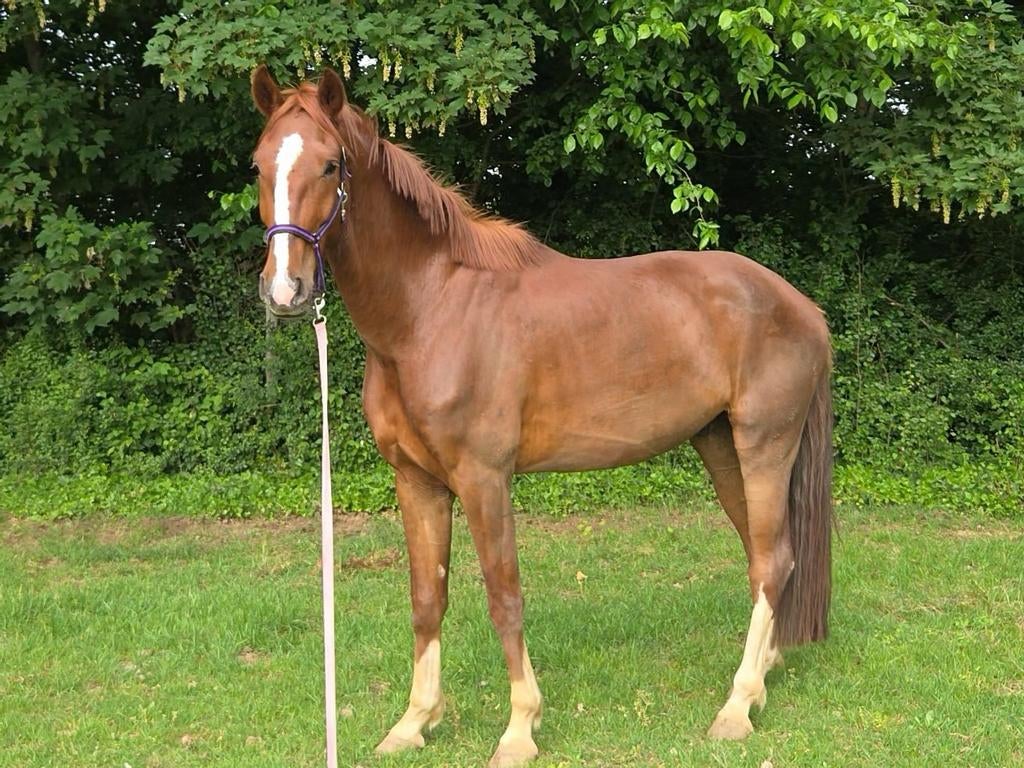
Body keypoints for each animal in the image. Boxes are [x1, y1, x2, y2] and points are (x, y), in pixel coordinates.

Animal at [249, 66, 833, 767]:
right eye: (259, 165)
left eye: (330, 164)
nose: (285, 291)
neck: (429, 310)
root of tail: (801, 306)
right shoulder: (417, 482)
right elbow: (427, 598)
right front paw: (414, 722)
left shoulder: (484, 479)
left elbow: (504, 597)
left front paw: (519, 729)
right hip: (720, 447)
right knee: (764, 554)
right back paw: (762, 677)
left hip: (764, 446)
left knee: (771, 561)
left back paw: (736, 708)